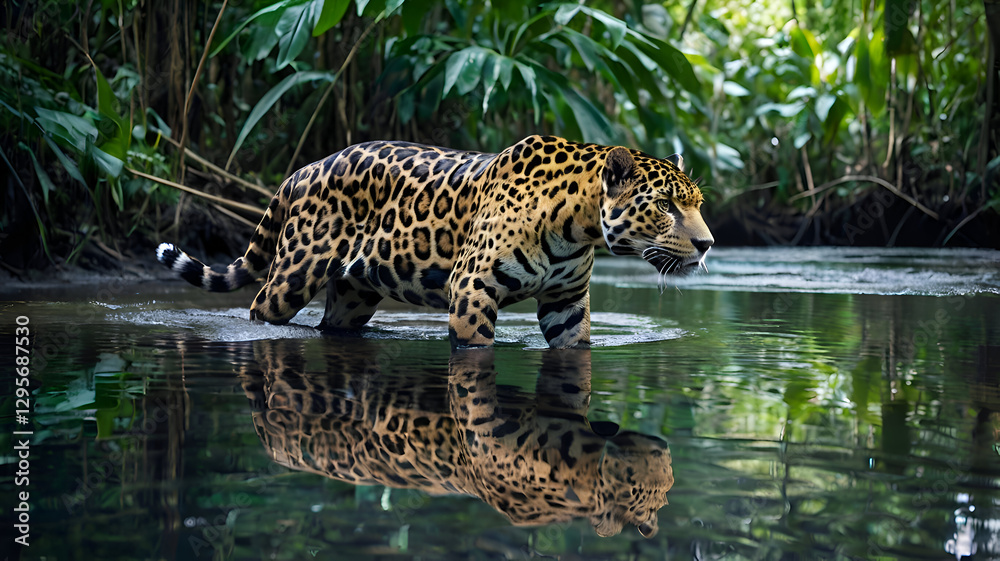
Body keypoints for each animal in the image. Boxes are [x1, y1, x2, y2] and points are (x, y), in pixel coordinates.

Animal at [157, 135, 713, 348]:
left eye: (697, 203)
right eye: (666, 206)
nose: (708, 244)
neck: (577, 224)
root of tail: (304, 168)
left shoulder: (567, 302)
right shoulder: (472, 287)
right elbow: (475, 347)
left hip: (354, 294)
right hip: (293, 275)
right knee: (258, 307)